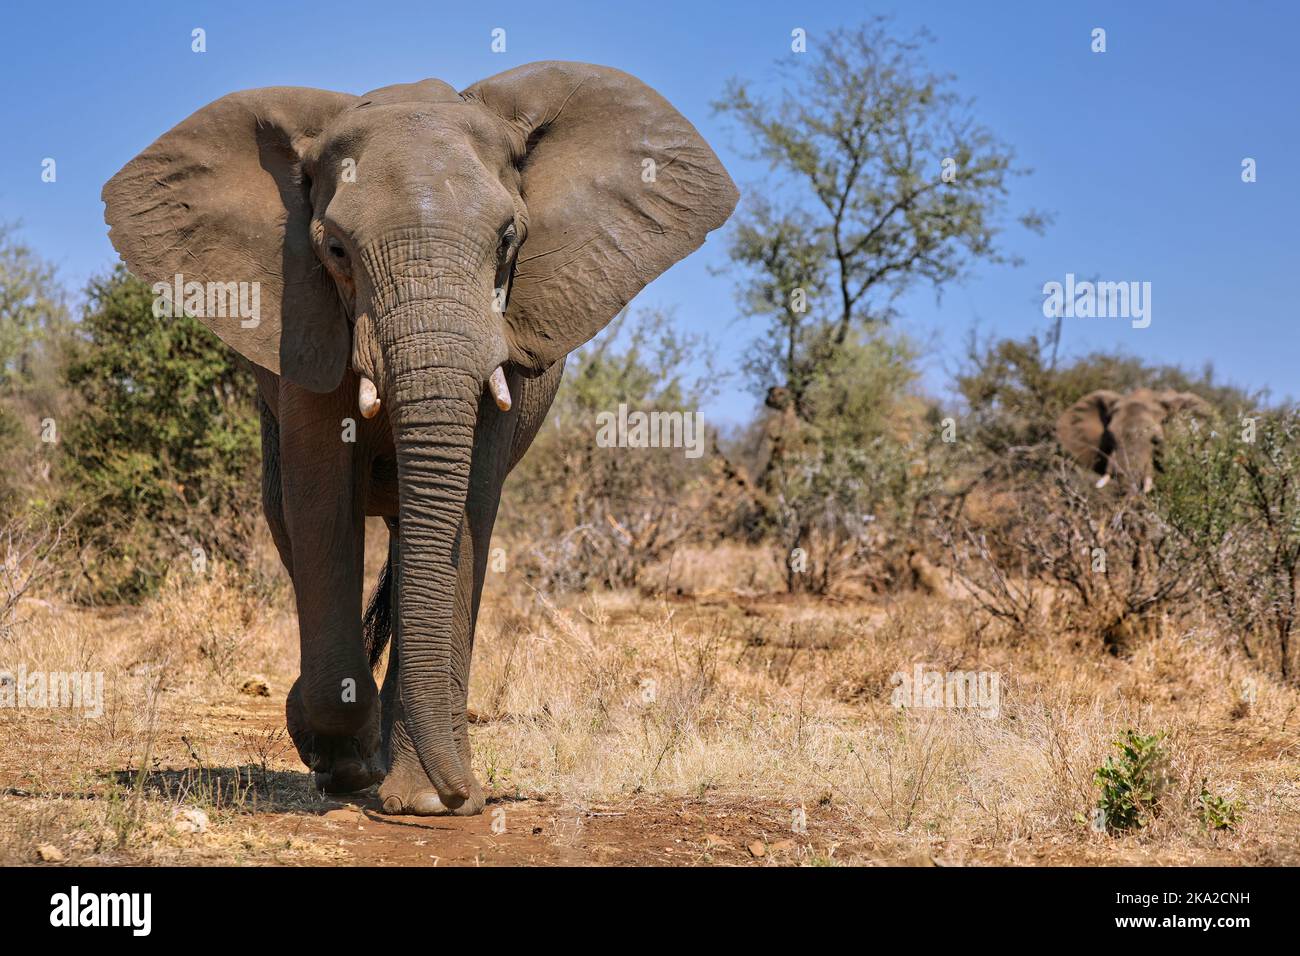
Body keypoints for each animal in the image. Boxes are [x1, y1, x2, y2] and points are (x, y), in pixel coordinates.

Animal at [100, 59, 738, 816]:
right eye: (335, 250)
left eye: (508, 240)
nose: (469, 795)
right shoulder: (305, 317)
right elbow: (321, 501)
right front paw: (343, 762)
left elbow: (466, 512)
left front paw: (423, 801)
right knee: (288, 517)